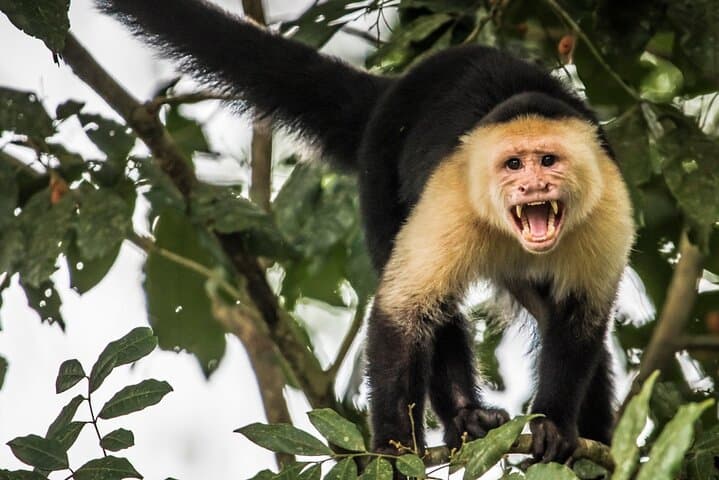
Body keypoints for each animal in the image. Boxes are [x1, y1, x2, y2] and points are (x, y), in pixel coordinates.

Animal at [95, 0, 635, 464]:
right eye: (513, 165)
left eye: (548, 160)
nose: (532, 185)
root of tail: (394, 87)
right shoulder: (453, 197)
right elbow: (403, 313)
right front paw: (392, 450)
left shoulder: (609, 206)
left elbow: (579, 320)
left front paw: (556, 426)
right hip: (381, 161)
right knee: (427, 296)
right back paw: (465, 416)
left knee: (551, 317)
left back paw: (592, 438)